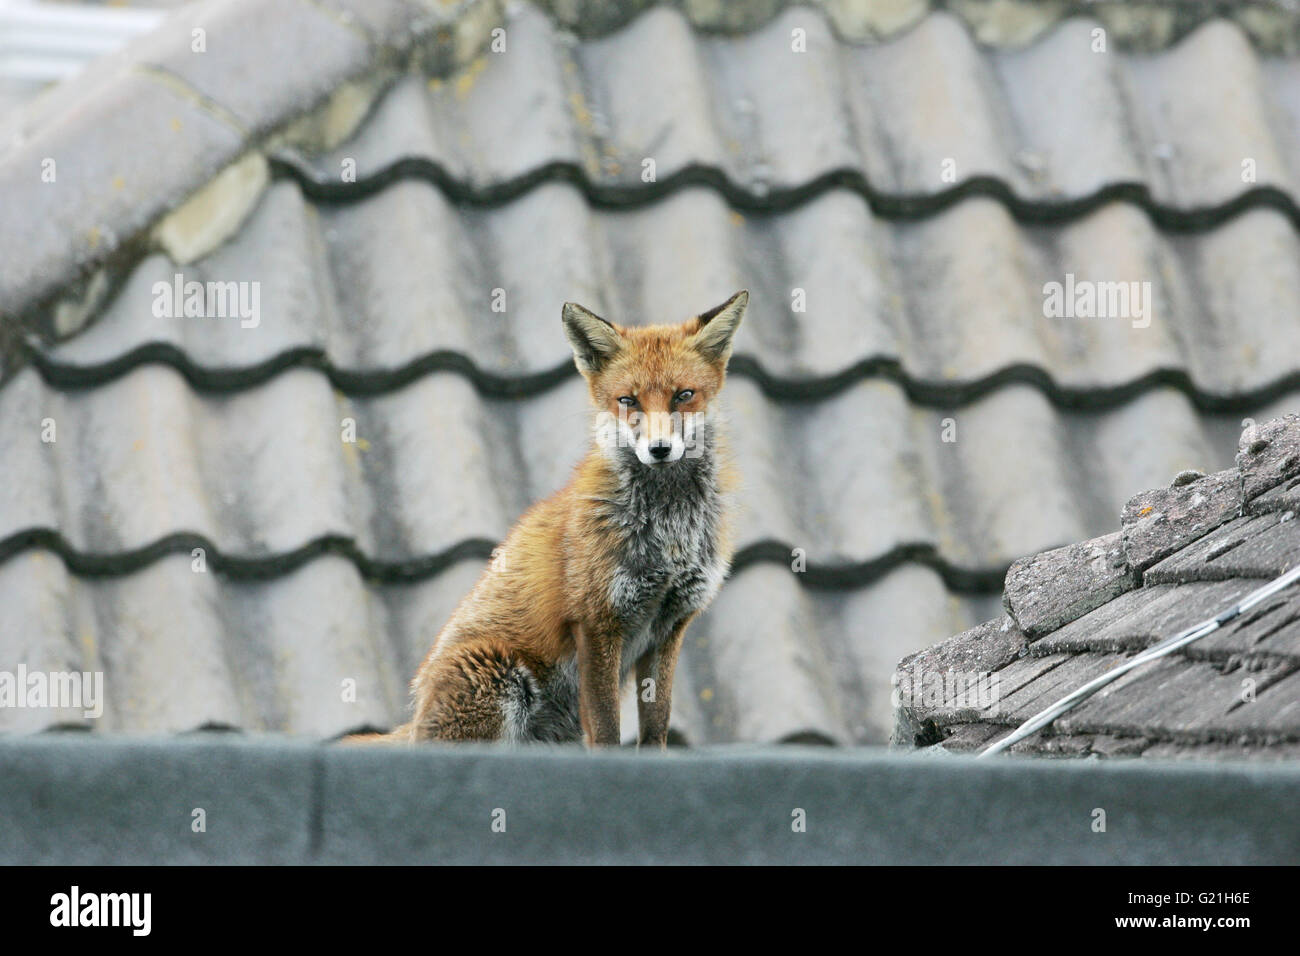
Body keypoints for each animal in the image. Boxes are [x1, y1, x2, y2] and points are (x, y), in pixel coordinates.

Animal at [348, 290, 754, 749]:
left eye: (683, 395)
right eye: (628, 400)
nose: (660, 449)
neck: (668, 528)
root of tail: (413, 721)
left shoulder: (670, 625)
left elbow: (656, 726)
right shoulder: (596, 620)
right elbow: (607, 729)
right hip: (499, 676)